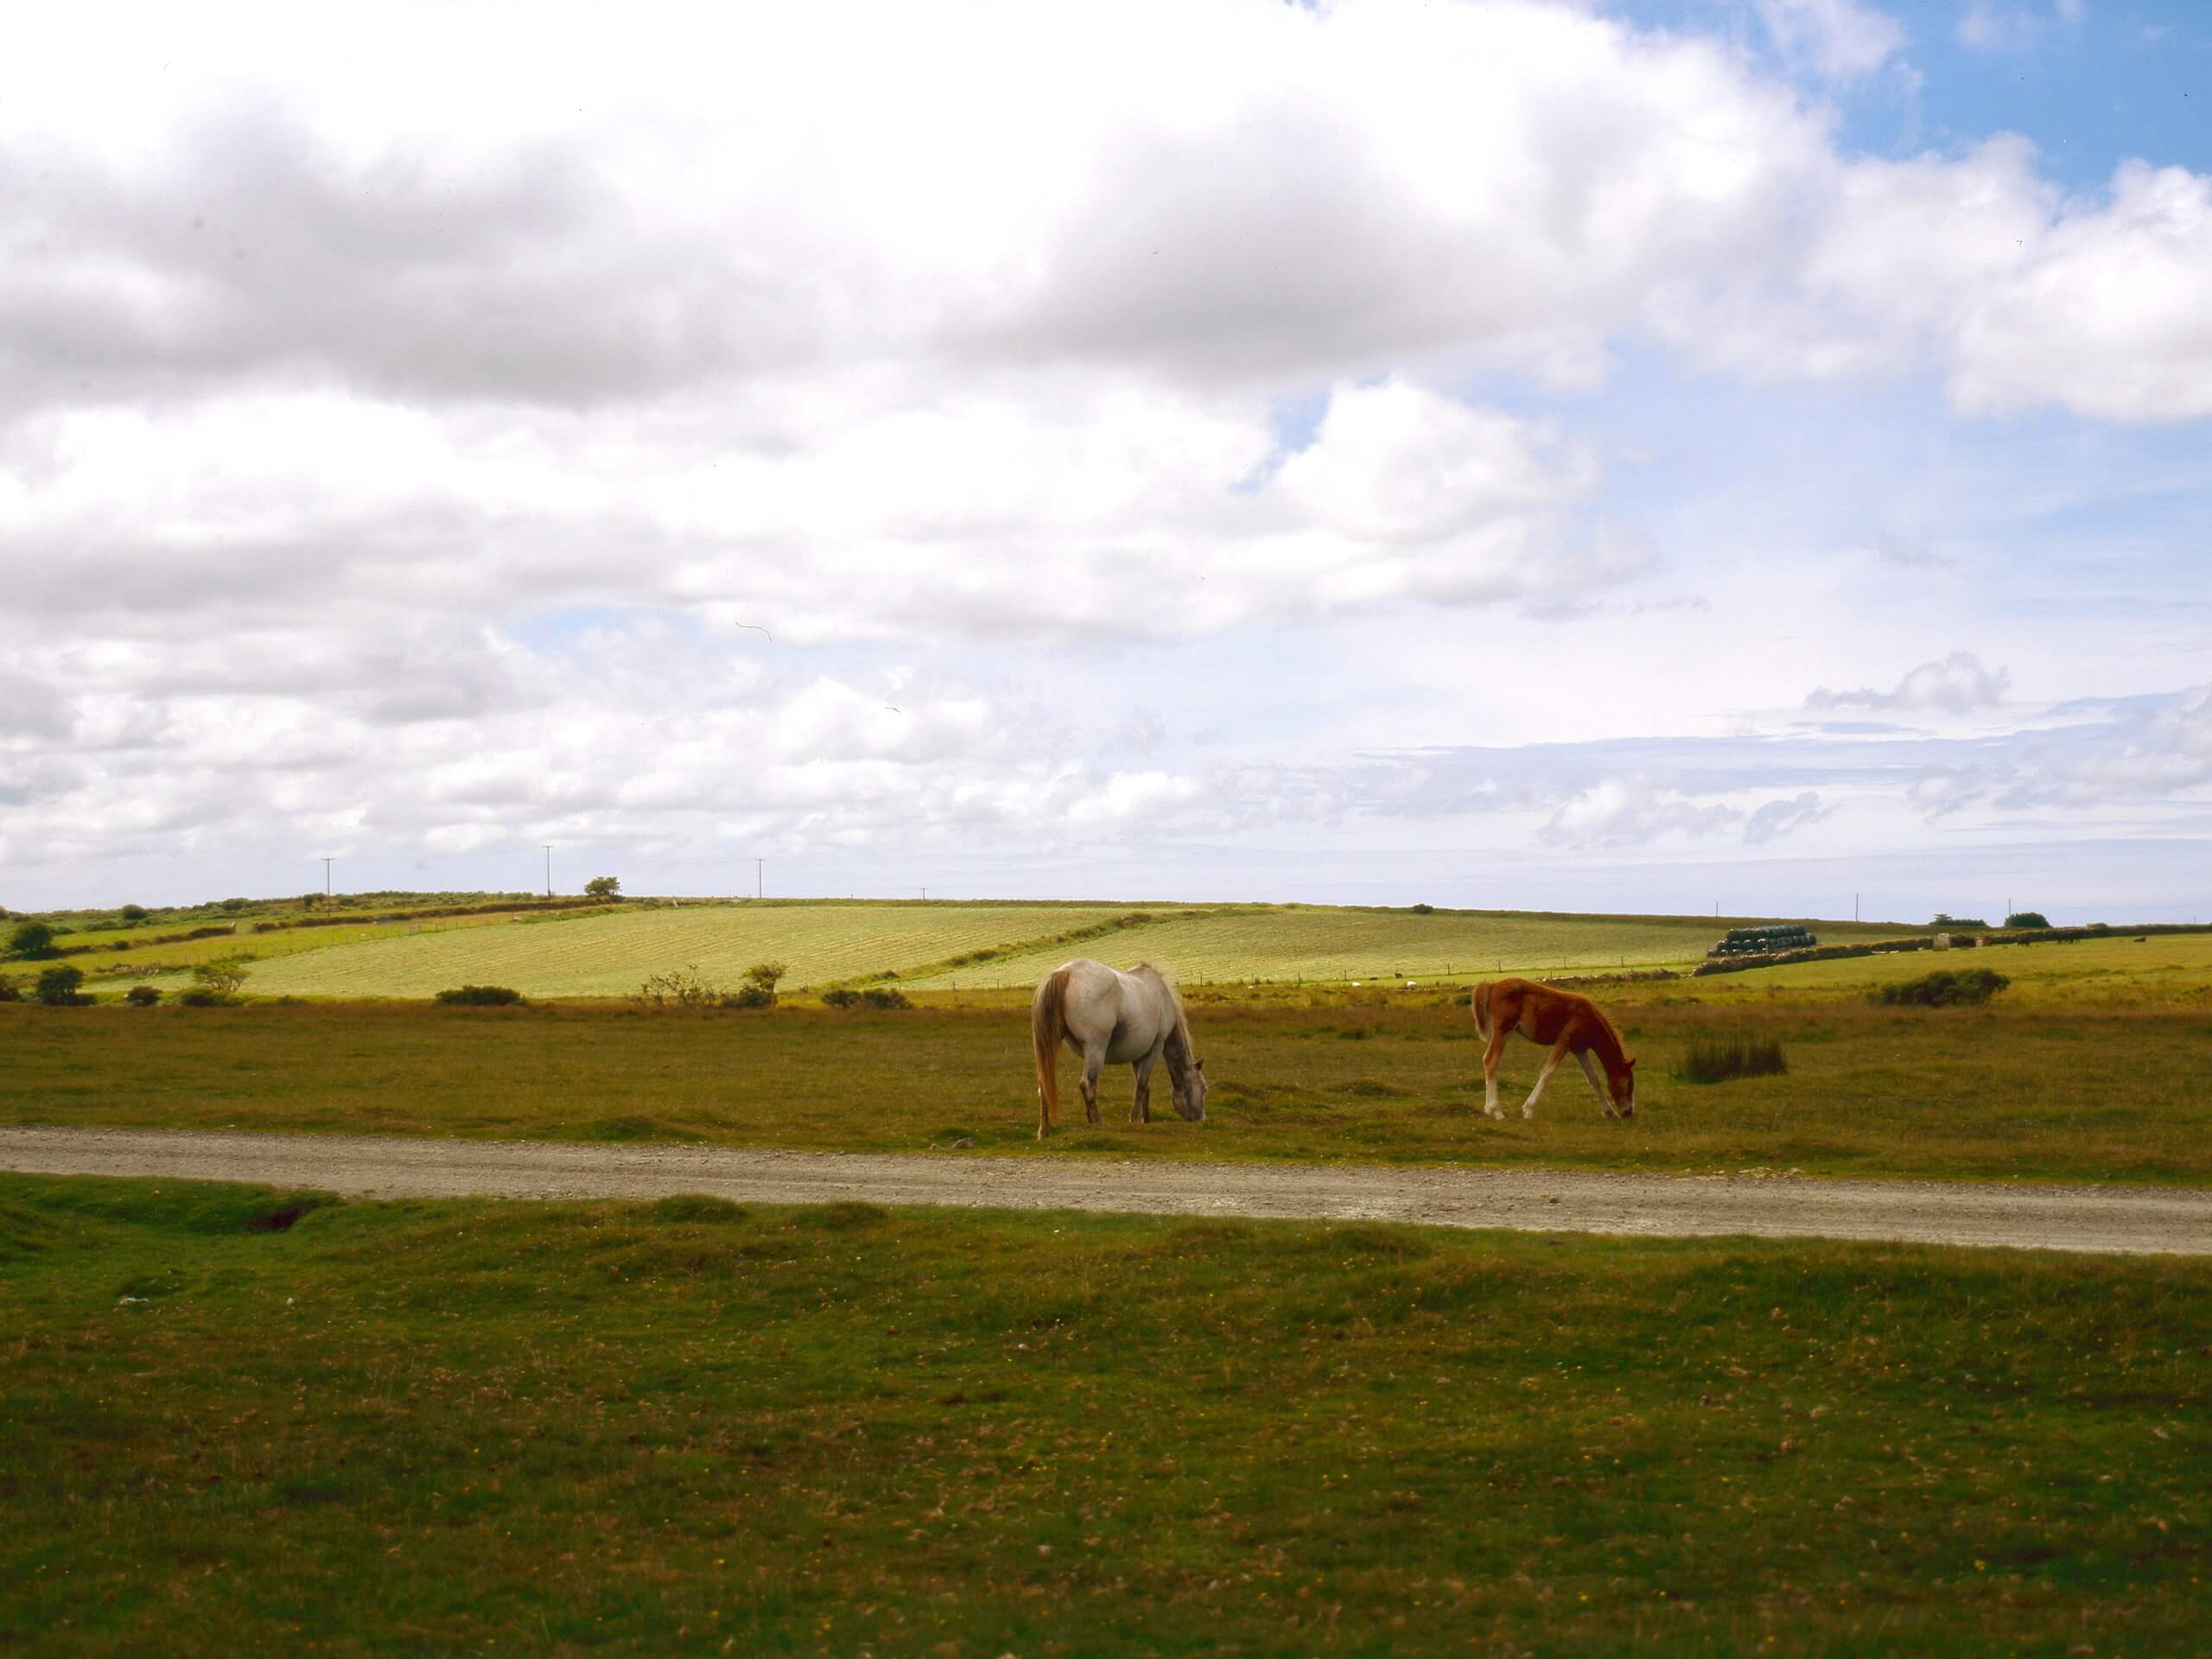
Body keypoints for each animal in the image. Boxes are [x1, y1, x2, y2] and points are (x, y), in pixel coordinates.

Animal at [1030, 960, 1211, 1141]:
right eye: (1204, 1088)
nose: (1201, 1119)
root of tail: (1066, 972)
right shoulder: (1155, 1048)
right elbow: (1141, 1087)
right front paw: (1135, 1120)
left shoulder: (1137, 1057)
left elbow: (1144, 1087)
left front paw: (1146, 1119)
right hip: (1095, 1050)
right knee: (1088, 1085)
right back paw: (1096, 1123)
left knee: (1044, 1084)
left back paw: (1043, 1131)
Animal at [1478, 982, 1637, 1123]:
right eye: (1629, 1083)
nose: (1628, 1112)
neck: (1588, 1017)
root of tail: (1492, 985)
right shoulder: (1564, 1040)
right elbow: (1548, 1071)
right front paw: (1529, 1109)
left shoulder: (1579, 1049)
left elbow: (1593, 1078)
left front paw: (1610, 1112)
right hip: (1502, 1032)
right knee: (1491, 1061)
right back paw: (1497, 1111)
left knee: (1487, 1061)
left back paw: (1488, 1108)